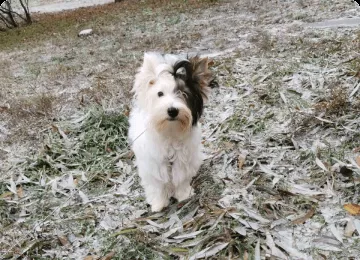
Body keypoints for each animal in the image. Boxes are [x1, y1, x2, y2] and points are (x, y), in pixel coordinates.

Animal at [128, 52, 215, 211]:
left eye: (184, 94)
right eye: (160, 94)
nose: (172, 110)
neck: (170, 131)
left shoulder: (183, 160)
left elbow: (181, 178)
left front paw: (184, 194)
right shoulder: (153, 163)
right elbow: (156, 184)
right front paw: (158, 203)